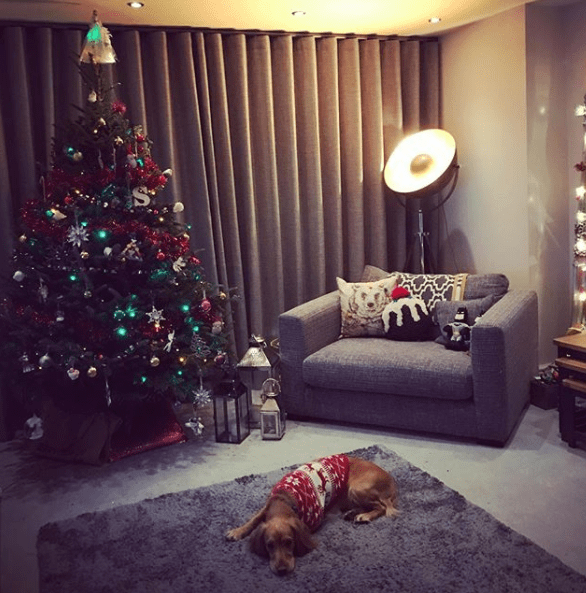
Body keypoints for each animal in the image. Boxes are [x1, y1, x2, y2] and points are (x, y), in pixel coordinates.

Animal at [225, 454, 396, 572]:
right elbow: (254, 519)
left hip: (357, 489)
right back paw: (352, 513)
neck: (285, 499)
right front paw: (237, 531)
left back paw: (364, 516)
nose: (282, 570)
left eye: (289, 542)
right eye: (270, 545)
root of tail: (391, 481)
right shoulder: (268, 505)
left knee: (381, 506)